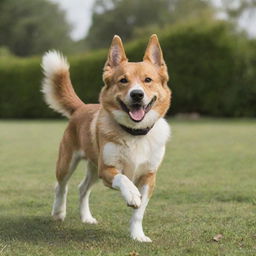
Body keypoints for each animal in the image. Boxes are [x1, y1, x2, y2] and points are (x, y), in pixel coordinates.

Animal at [41, 34, 171, 242]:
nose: (137, 94)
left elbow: (139, 212)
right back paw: (58, 212)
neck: (134, 133)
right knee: (61, 186)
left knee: (82, 188)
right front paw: (132, 195)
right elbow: (123, 178)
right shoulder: (108, 169)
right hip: (68, 162)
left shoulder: (149, 177)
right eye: (123, 80)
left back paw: (86, 217)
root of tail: (81, 107)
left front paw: (138, 236)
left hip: (94, 168)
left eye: (148, 80)